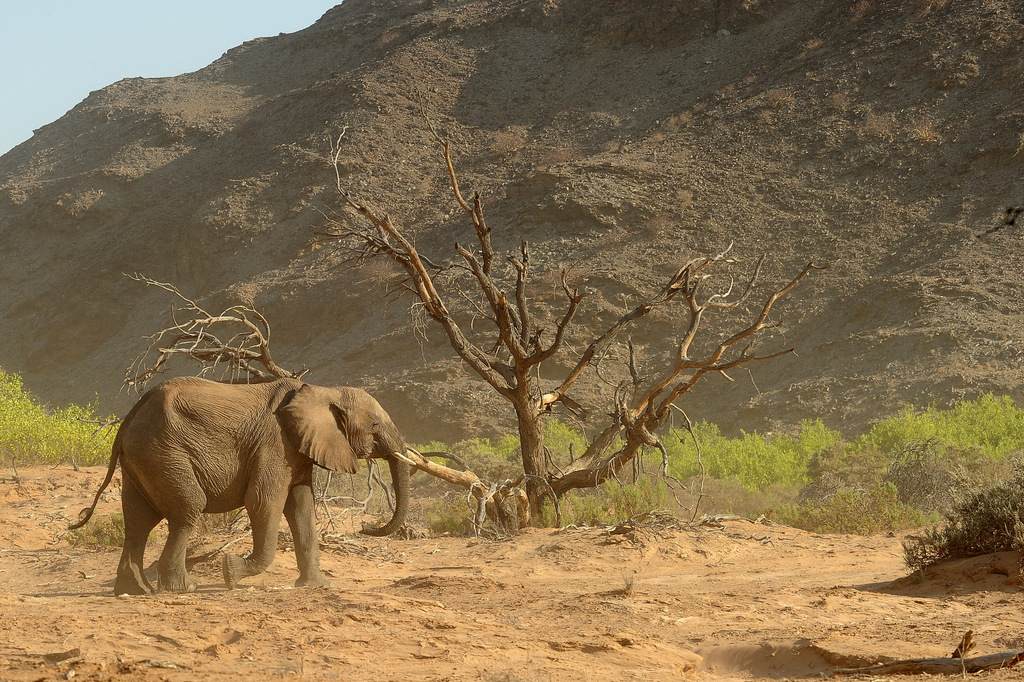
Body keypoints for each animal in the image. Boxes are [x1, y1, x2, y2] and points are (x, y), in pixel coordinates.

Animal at [67, 374, 411, 593]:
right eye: (375, 425)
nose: (365, 528)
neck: (323, 390)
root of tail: (128, 418)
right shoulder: (274, 445)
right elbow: (264, 503)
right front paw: (231, 573)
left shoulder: (297, 451)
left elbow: (301, 508)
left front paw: (317, 587)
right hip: (163, 453)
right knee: (187, 509)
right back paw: (183, 588)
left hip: (143, 458)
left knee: (138, 521)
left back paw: (137, 590)